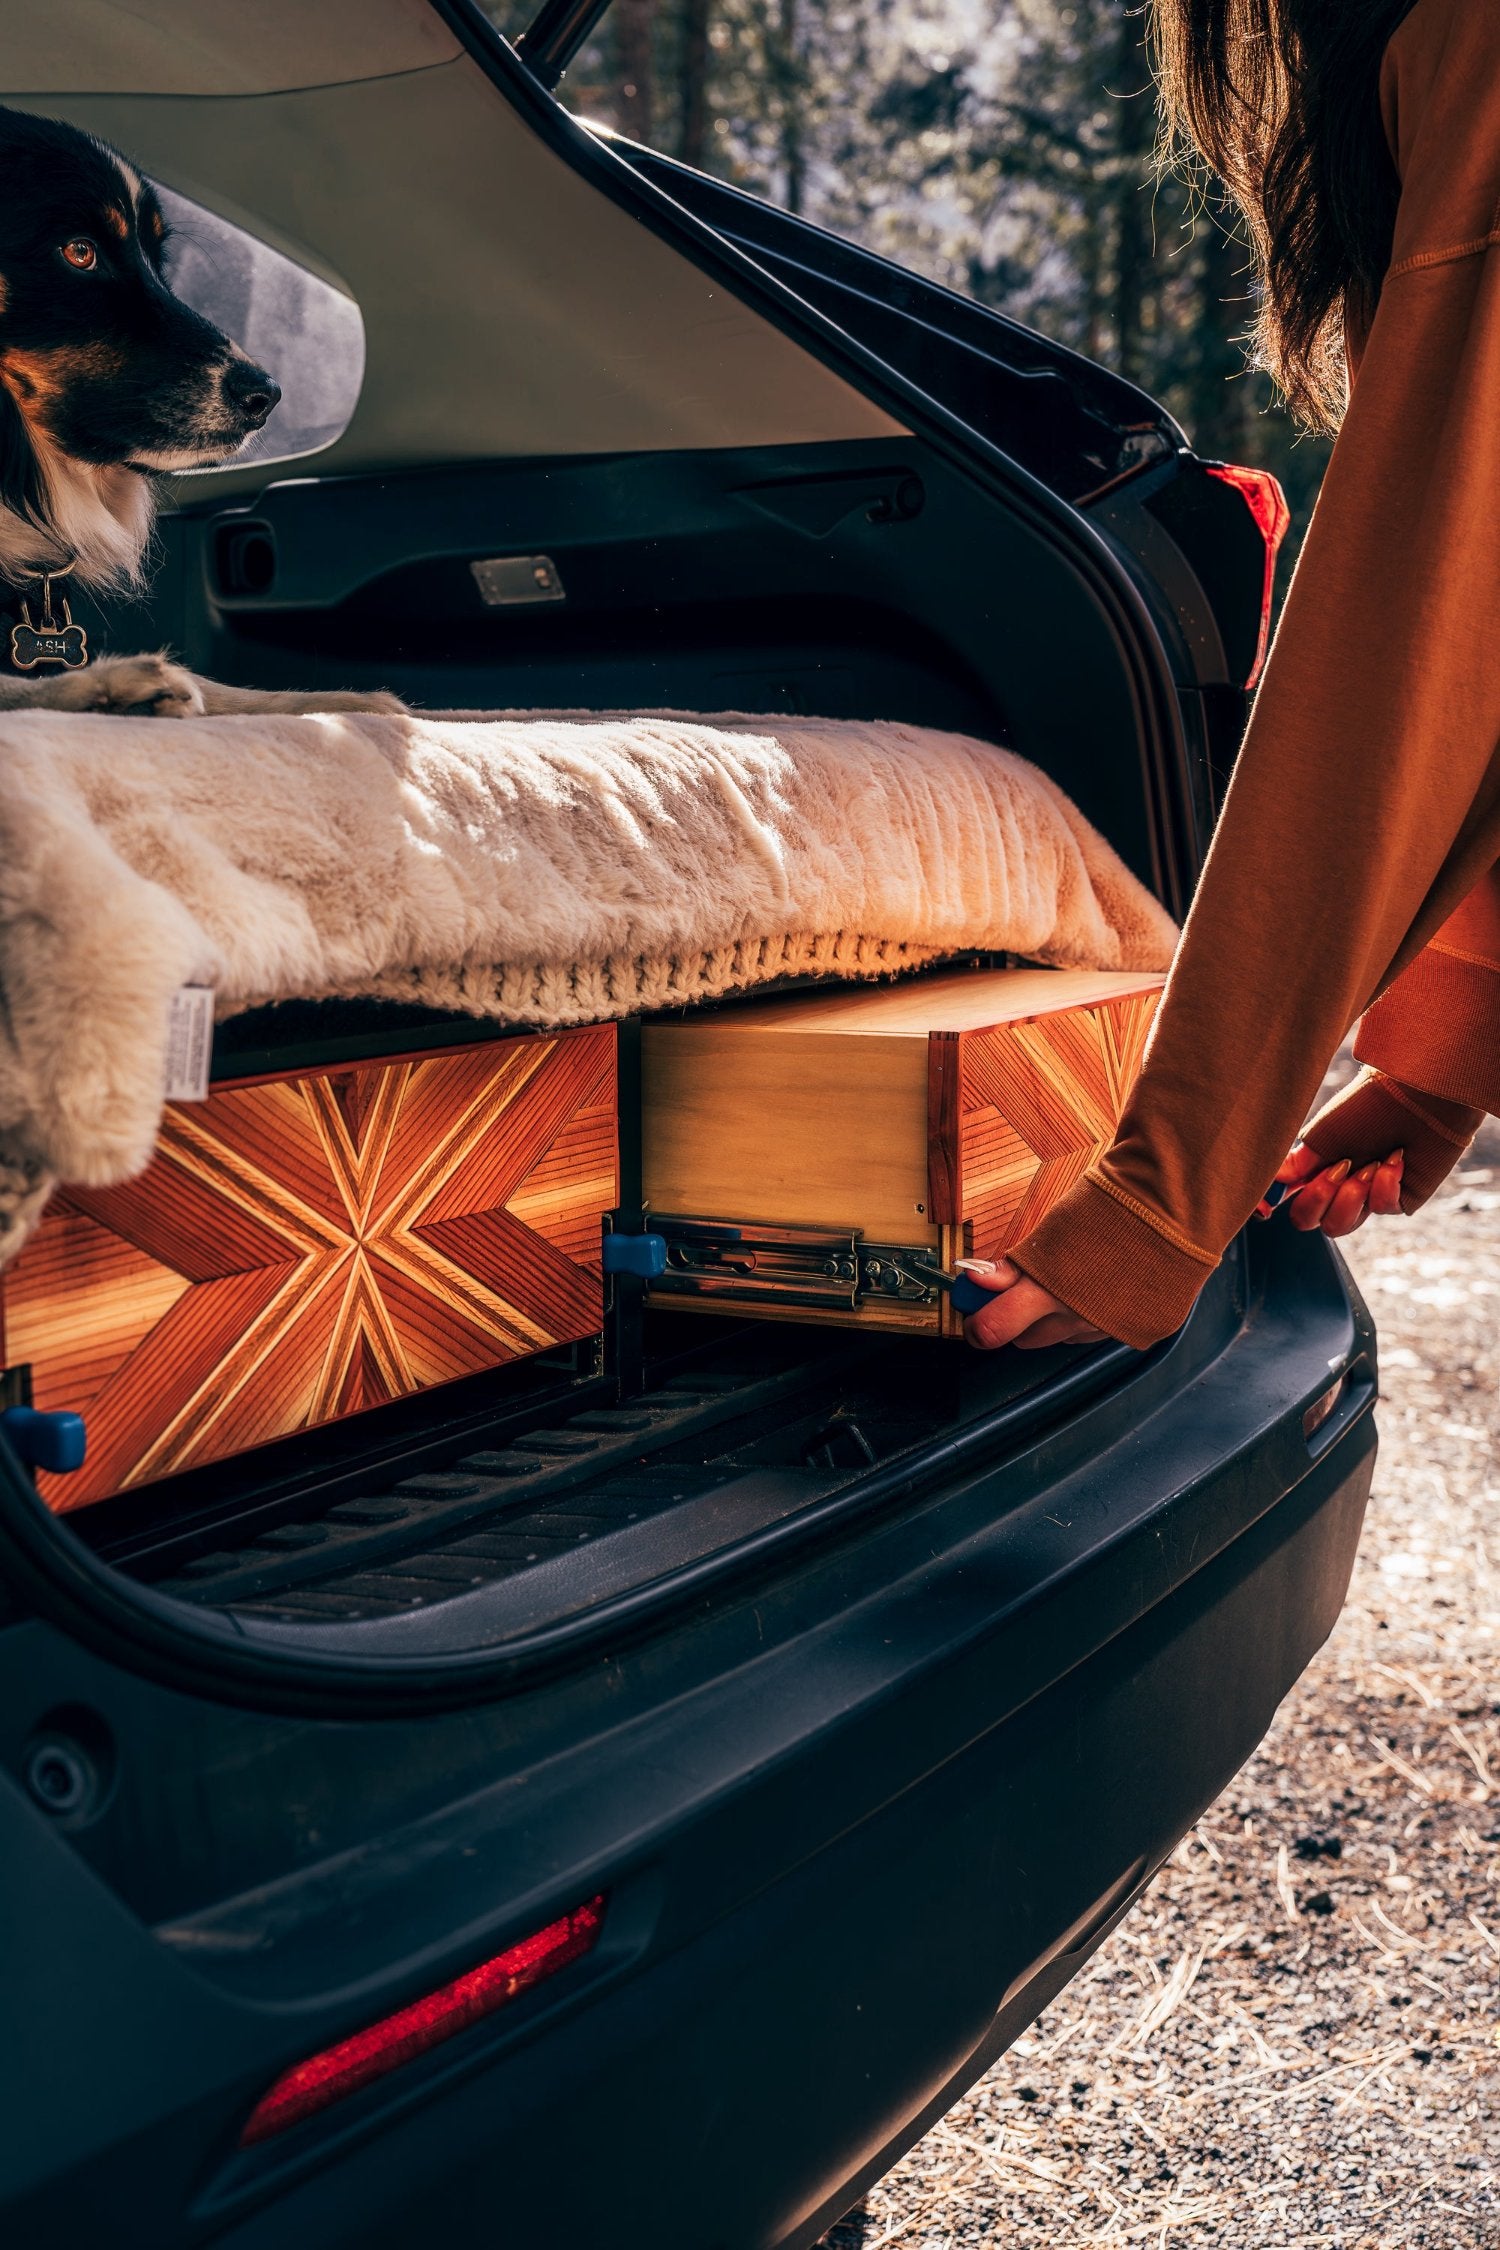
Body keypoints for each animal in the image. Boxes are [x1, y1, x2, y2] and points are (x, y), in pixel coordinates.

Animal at [0, 103, 398, 720]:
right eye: (79, 252)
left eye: (159, 260)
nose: (266, 397)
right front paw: (107, 685)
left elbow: (225, 687)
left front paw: (343, 702)